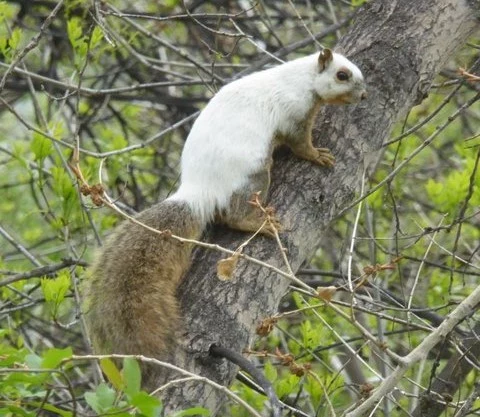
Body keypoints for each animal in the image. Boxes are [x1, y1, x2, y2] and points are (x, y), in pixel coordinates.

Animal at [82, 48, 368, 386]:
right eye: (342, 75)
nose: (364, 95)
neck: (301, 79)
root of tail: (198, 192)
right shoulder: (294, 115)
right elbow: (300, 144)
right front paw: (317, 155)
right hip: (253, 174)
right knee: (233, 214)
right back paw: (258, 223)